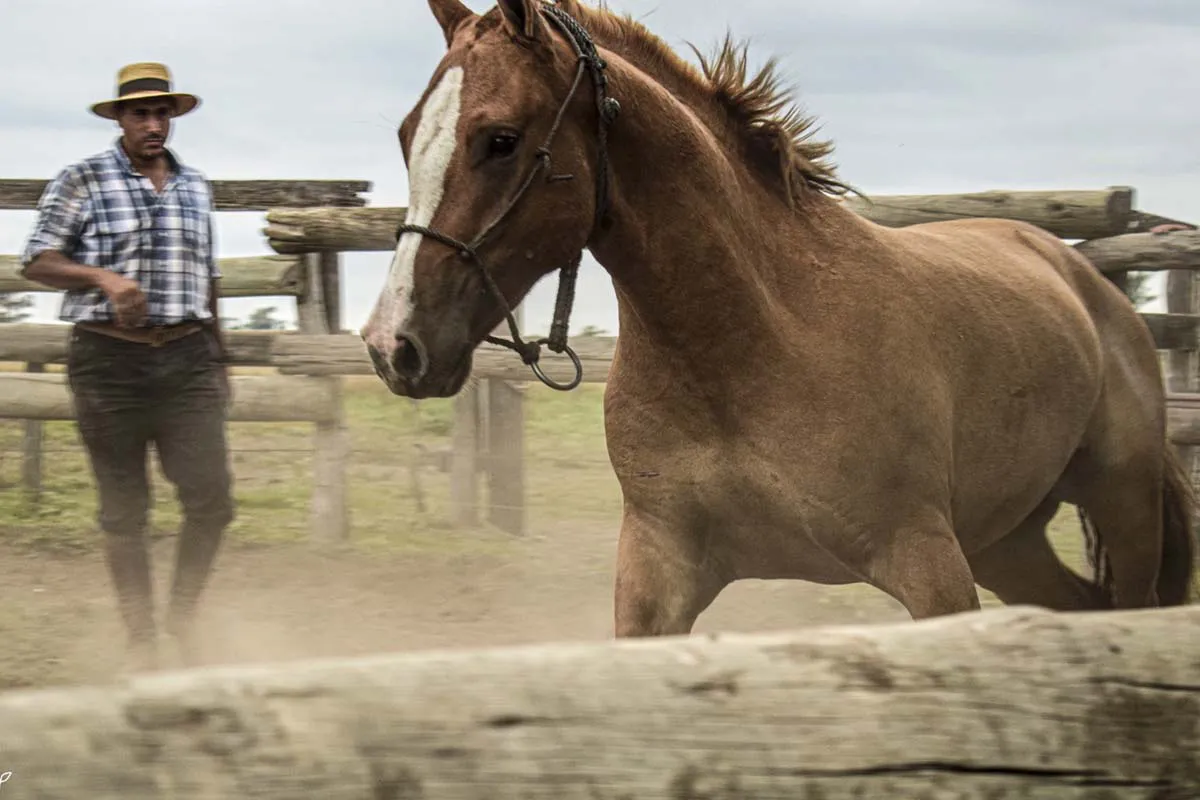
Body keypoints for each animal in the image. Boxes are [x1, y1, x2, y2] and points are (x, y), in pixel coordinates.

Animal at [361, 0, 1196, 636]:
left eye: (499, 139)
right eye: (405, 136)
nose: (392, 345)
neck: (753, 347)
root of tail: (1093, 285)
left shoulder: (929, 566)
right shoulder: (657, 574)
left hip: (1120, 507)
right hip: (1008, 541)